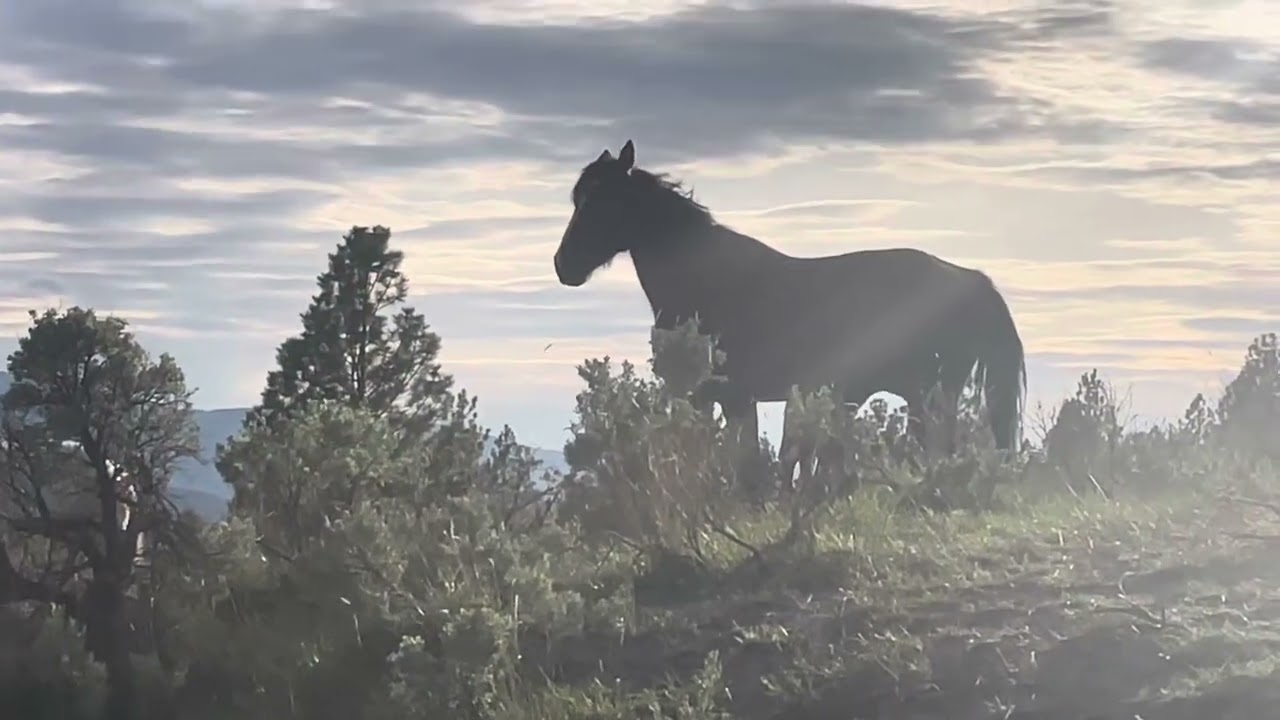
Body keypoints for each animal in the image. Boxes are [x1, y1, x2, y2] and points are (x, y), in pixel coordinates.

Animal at [552, 140, 1027, 477]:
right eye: (579, 201)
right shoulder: (725, 400)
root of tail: (968, 278)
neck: (709, 280)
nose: (563, 265)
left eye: (606, 202)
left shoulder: (728, 397)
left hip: (929, 392)